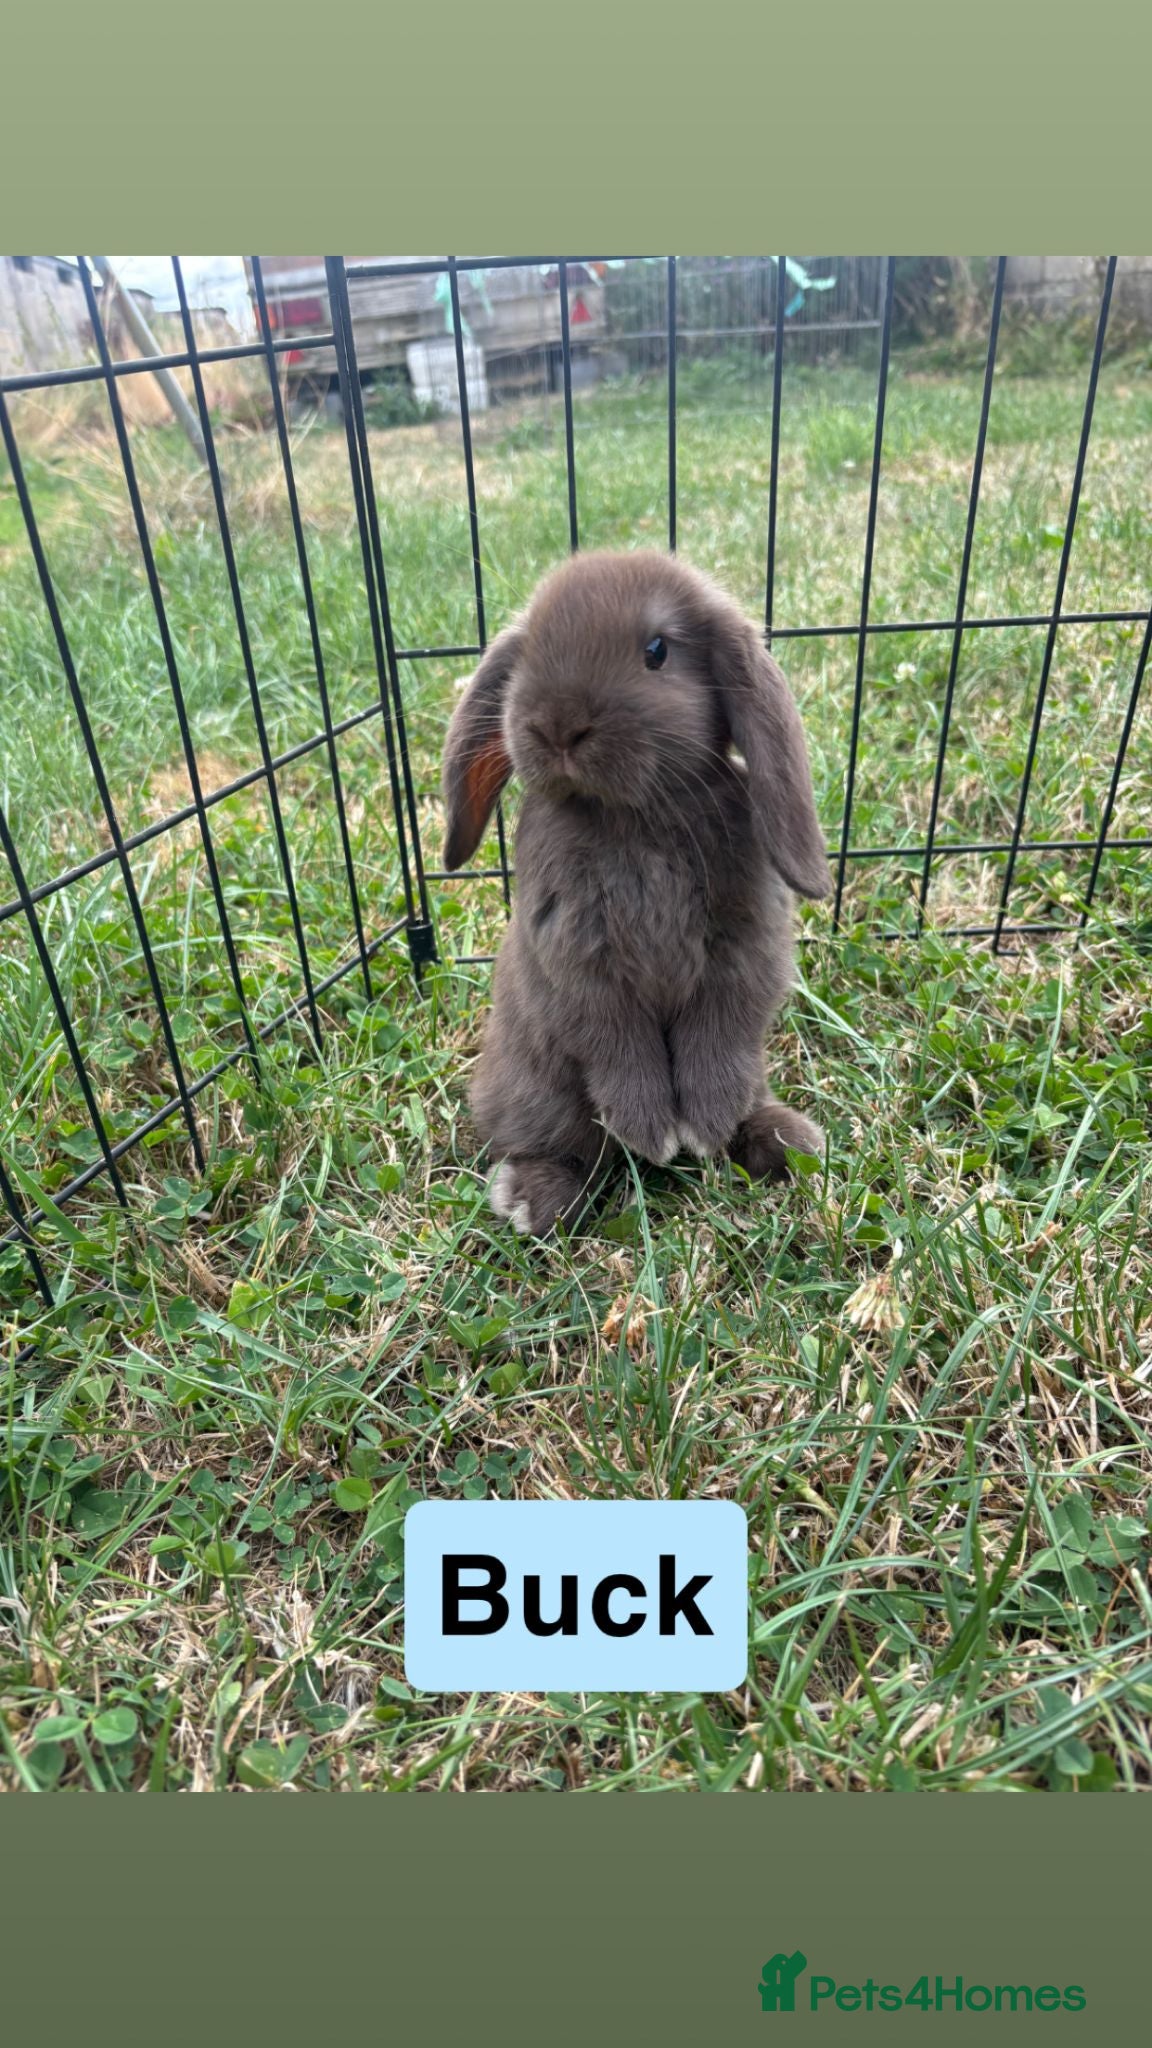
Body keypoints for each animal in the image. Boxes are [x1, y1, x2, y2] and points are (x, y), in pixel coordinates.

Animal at [440, 548, 830, 1237]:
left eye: (657, 650)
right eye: (531, 650)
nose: (558, 726)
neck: (630, 817)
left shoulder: (742, 948)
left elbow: (717, 1033)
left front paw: (703, 1124)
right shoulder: (576, 960)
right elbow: (615, 1040)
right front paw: (650, 1131)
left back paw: (787, 1145)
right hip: (537, 1094)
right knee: (556, 1147)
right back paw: (532, 1198)